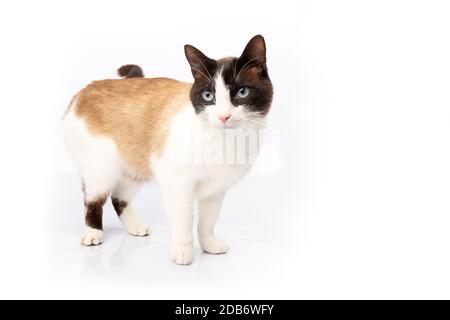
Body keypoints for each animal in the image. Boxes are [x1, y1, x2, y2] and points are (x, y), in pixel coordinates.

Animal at [63, 35, 274, 264]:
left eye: (242, 92)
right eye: (208, 96)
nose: (223, 116)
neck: (226, 141)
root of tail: (84, 91)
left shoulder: (215, 191)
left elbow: (207, 223)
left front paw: (209, 247)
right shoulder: (179, 184)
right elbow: (184, 221)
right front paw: (183, 253)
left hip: (134, 169)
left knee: (118, 198)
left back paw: (135, 227)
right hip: (101, 170)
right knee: (93, 200)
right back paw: (93, 234)